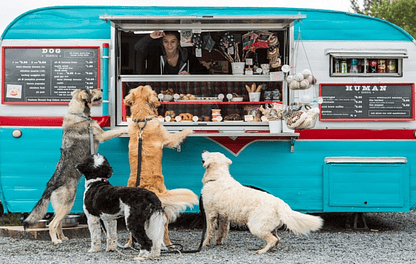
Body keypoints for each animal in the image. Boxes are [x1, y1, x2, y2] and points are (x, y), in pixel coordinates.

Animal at [23, 89, 127, 244]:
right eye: (91, 90)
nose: (102, 90)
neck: (77, 113)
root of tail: (51, 184)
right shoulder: (102, 135)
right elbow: (117, 131)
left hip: (61, 207)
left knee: (58, 223)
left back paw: (62, 237)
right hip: (67, 203)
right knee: (52, 224)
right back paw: (55, 241)